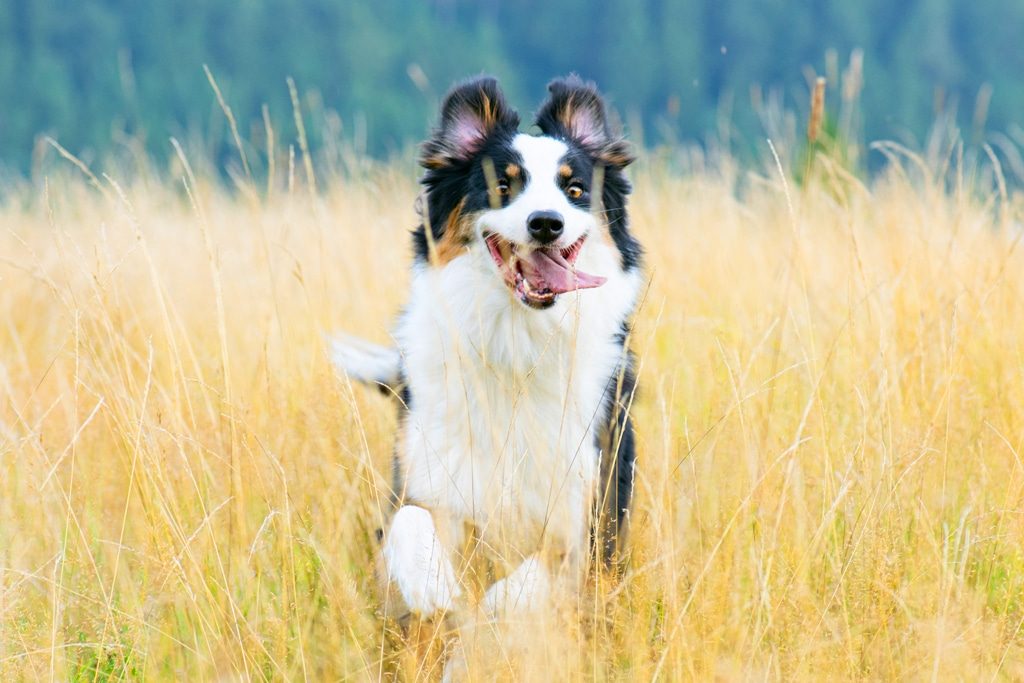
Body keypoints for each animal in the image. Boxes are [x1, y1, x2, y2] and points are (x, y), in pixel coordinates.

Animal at [333, 74, 638, 626]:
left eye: (575, 190)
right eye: (503, 186)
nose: (546, 223)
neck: (516, 341)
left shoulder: (590, 505)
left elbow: (548, 564)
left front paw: (501, 607)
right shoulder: (429, 473)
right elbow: (409, 518)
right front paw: (433, 587)